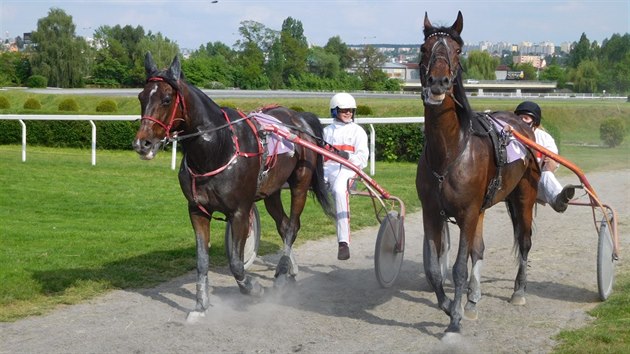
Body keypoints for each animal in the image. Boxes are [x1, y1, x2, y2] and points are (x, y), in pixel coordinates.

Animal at [133, 51, 336, 320]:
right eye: (141, 97)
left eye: (167, 99)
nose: (142, 143)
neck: (219, 147)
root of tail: (299, 117)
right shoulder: (197, 210)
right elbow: (202, 261)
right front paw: (200, 306)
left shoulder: (240, 211)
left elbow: (237, 264)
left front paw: (254, 289)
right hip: (271, 191)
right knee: (283, 225)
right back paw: (289, 271)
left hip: (300, 183)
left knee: (293, 226)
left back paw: (282, 272)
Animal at [414, 10, 544, 332]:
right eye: (424, 48)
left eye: (458, 50)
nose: (438, 83)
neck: (448, 153)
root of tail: (521, 124)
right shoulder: (432, 211)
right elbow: (434, 268)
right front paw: (450, 305)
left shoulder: (468, 212)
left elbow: (459, 267)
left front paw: (455, 320)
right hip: (484, 206)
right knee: (479, 249)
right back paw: (472, 299)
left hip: (524, 194)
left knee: (525, 241)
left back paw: (518, 291)